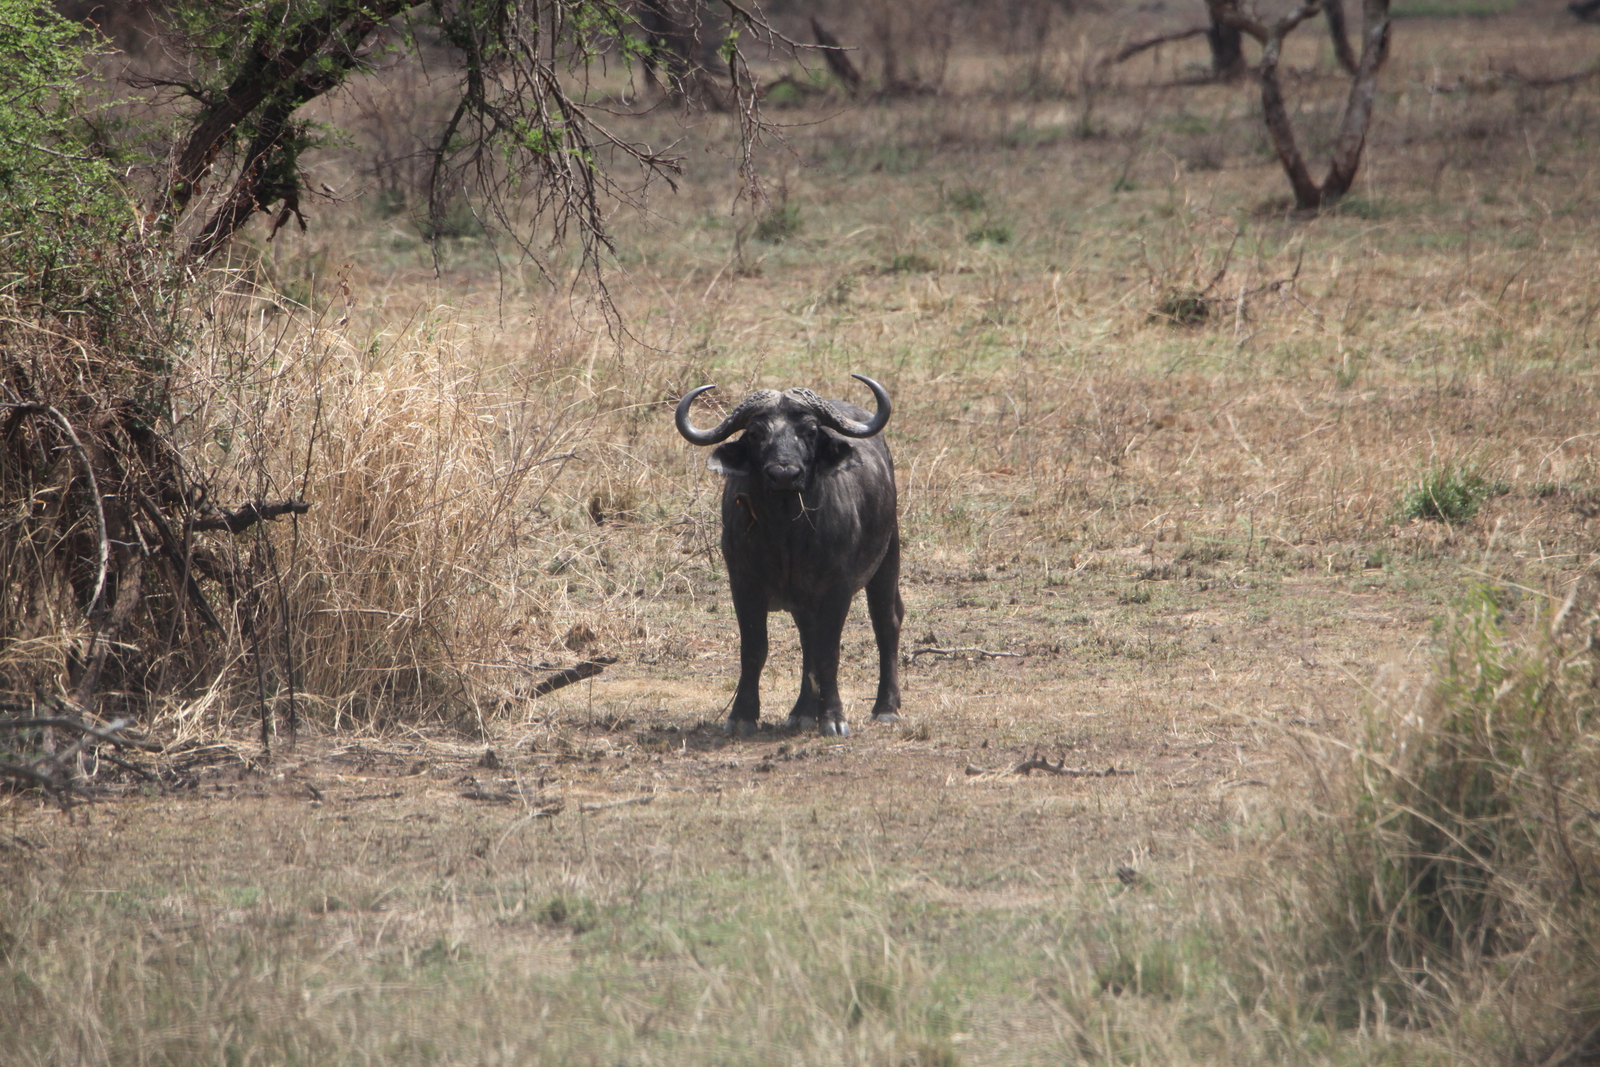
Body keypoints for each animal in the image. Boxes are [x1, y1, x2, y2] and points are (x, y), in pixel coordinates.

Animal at [672, 379, 908, 739]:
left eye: (809, 431)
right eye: (756, 433)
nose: (784, 473)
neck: (787, 534)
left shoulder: (838, 587)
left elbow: (829, 651)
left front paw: (833, 718)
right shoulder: (743, 583)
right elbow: (754, 649)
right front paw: (743, 715)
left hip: (887, 557)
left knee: (886, 622)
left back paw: (886, 707)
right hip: (804, 601)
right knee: (808, 638)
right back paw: (803, 712)